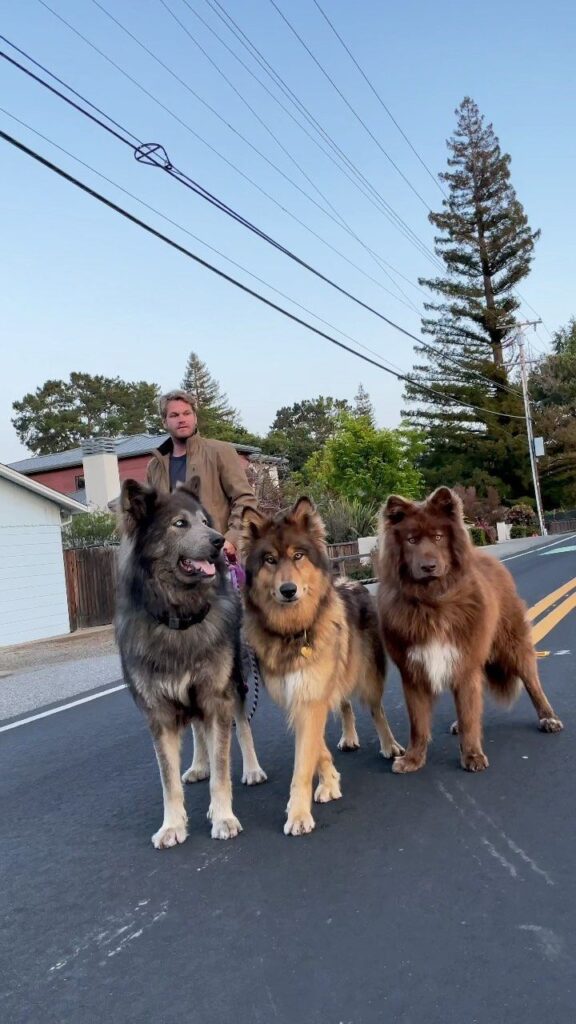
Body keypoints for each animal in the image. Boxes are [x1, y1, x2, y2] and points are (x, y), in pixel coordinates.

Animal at [114, 475, 266, 851]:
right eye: (179, 524)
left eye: (204, 521)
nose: (219, 542)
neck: (178, 619)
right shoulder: (159, 713)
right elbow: (168, 780)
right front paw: (171, 826)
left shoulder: (217, 696)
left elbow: (223, 767)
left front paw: (223, 817)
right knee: (199, 731)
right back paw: (200, 764)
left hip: (237, 683)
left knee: (241, 726)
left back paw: (251, 769)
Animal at [239, 497, 401, 839]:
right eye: (270, 560)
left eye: (298, 556)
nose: (288, 590)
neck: (294, 631)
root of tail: (352, 580)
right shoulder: (298, 698)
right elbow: (317, 749)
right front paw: (329, 783)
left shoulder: (311, 697)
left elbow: (304, 762)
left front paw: (299, 813)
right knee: (344, 704)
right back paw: (349, 737)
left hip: (369, 677)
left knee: (376, 710)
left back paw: (390, 745)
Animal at [377, 487, 561, 774]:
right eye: (411, 540)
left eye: (438, 537)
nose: (428, 567)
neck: (431, 602)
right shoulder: (413, 672)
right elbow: (418, 723)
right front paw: (414, 759)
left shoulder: (465, 661)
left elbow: (469, 712)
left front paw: (472, 755)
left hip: (513, 645)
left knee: (532, 682)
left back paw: (548, 718)